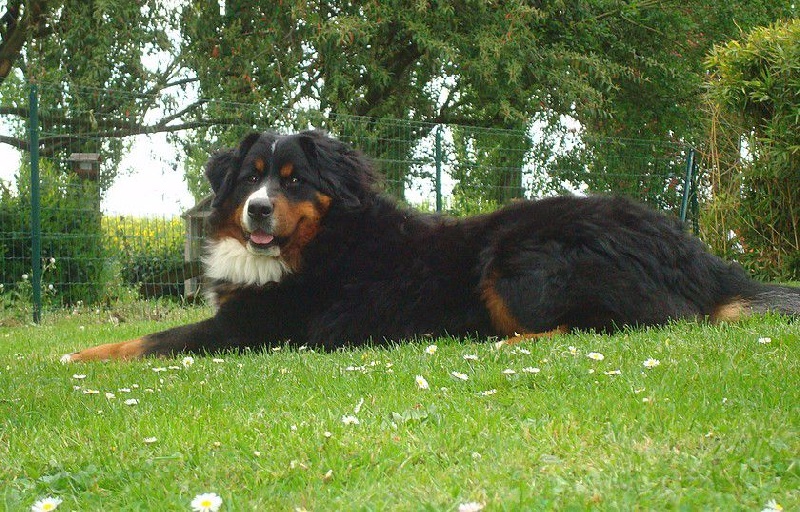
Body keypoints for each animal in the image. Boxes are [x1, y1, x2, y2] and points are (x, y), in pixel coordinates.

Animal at [63, 130, 799, 361]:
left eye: (295, 179)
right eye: (251, 176)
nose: (258, 209)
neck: (321, 241)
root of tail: (695, 250)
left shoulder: (255, 327)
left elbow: (146, 340)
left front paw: (73, 355)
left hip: (518, 256)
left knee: (620, 324)